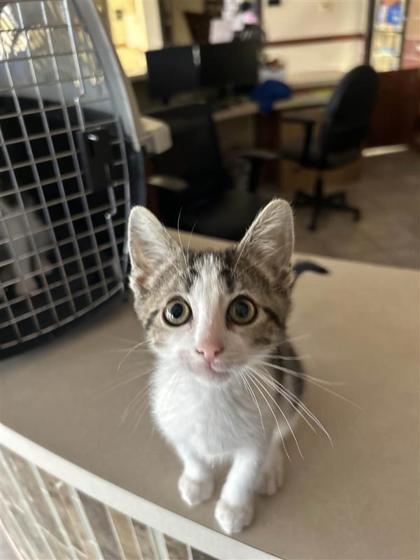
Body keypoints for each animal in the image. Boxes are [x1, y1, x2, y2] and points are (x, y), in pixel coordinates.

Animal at [128, 198, 306, 532]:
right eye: (175, 311)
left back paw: (271, 468)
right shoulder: (168, 416)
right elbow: (188, 450)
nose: (208, 348)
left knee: (282, 429)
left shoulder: (261, 424)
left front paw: (234, 507)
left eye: (242, 310)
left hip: (292, 384)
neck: (210, 397)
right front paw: (197, 480)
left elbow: (247, 467)